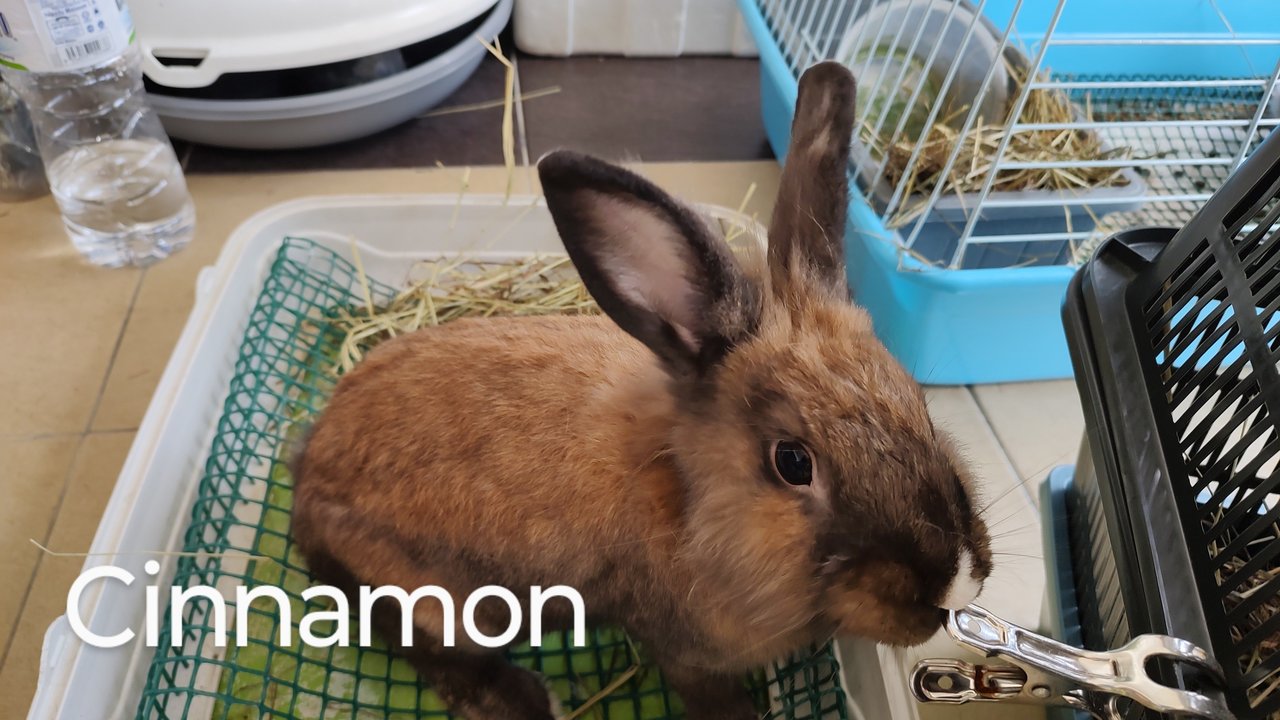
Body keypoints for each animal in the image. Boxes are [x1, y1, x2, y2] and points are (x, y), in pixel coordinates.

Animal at [290, 63, 988, 717]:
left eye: (917, 402)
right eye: (793, 462)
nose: (953, 585)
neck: (688, 497)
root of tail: (307, 475)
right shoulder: (682, 652)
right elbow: (713, 698)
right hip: (444, 605)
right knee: (437, 656)